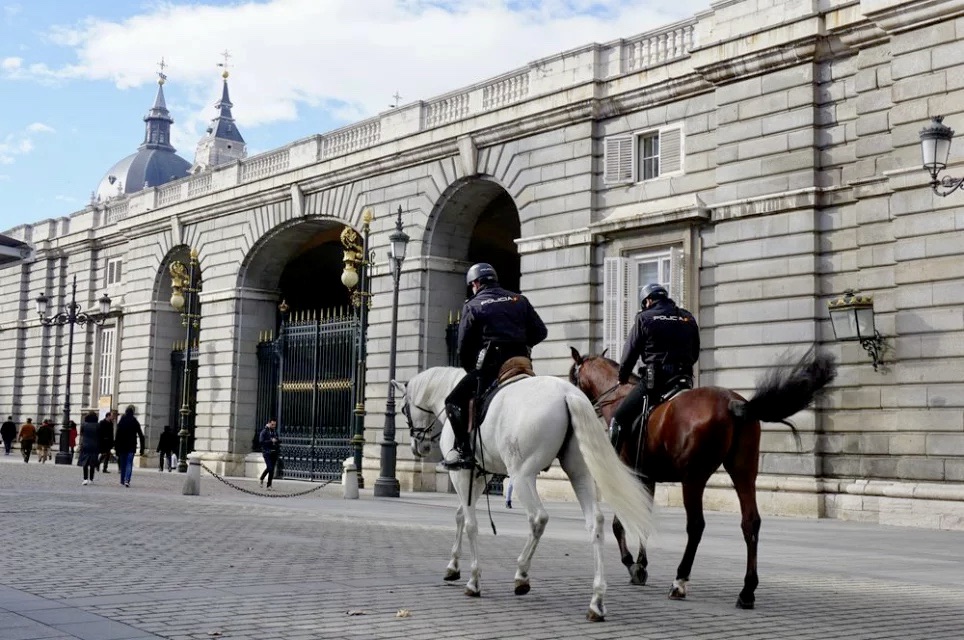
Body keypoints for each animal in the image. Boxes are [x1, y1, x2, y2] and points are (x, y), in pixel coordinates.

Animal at [394, 368, 656, 624]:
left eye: (404, 409)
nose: (419, 447)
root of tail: (567, 393)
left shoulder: (463, 473)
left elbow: (470, 524)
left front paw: (474, 579)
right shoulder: (482, 475)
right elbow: (460, 516)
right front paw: (453, 567)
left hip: (522, 475)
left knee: (538, 518)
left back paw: (522, 573)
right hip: (579, 472)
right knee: (595, 523)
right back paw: (597, 601)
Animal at [564, 344, 836, 608]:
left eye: (571, 378)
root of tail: (733, 403)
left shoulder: (629, 477)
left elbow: (620, 523)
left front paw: (631, 563)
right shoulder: (647, 479)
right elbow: (644, 519)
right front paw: (641, 565)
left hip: (693, 478)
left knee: (696, 526)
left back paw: (680, 581)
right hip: (743, 472)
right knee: (750, 522)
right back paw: (747, 591)